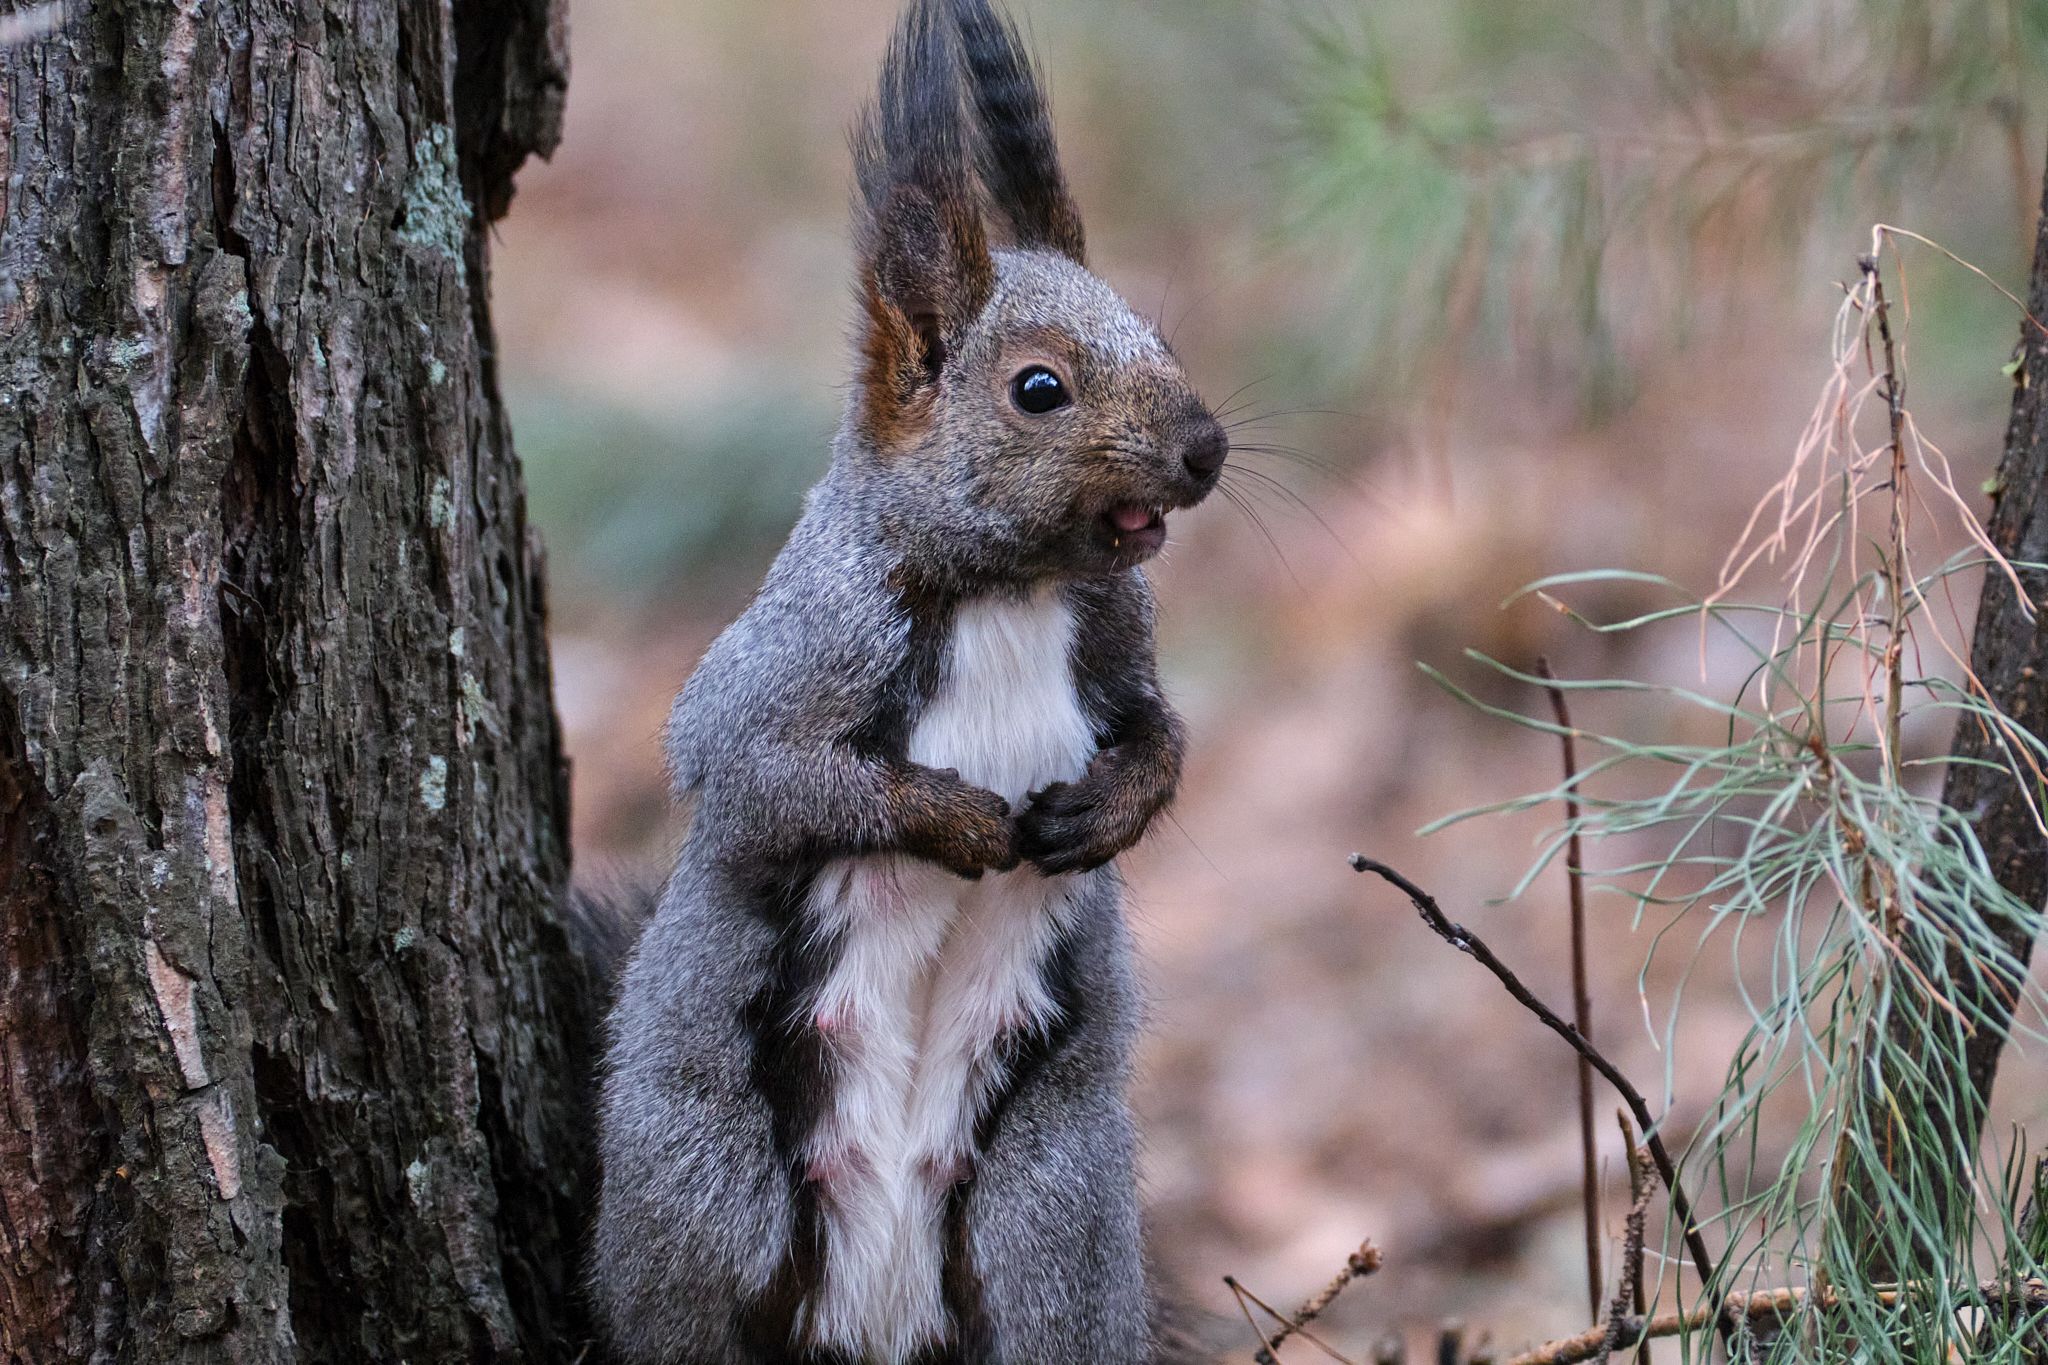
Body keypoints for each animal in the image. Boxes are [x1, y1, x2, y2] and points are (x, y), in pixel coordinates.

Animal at [590, 0, 1227, 1360]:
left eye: (1162, 338)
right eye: (1038, 388)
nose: (1203, 450)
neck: (1010, 591)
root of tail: (878, 1321)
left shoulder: (1120, 645)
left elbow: (1162, 735)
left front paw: (1104, 812)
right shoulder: (788, 663)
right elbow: (765, 778)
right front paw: (962, 822)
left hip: (1045, 1231)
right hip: (714, 1210)